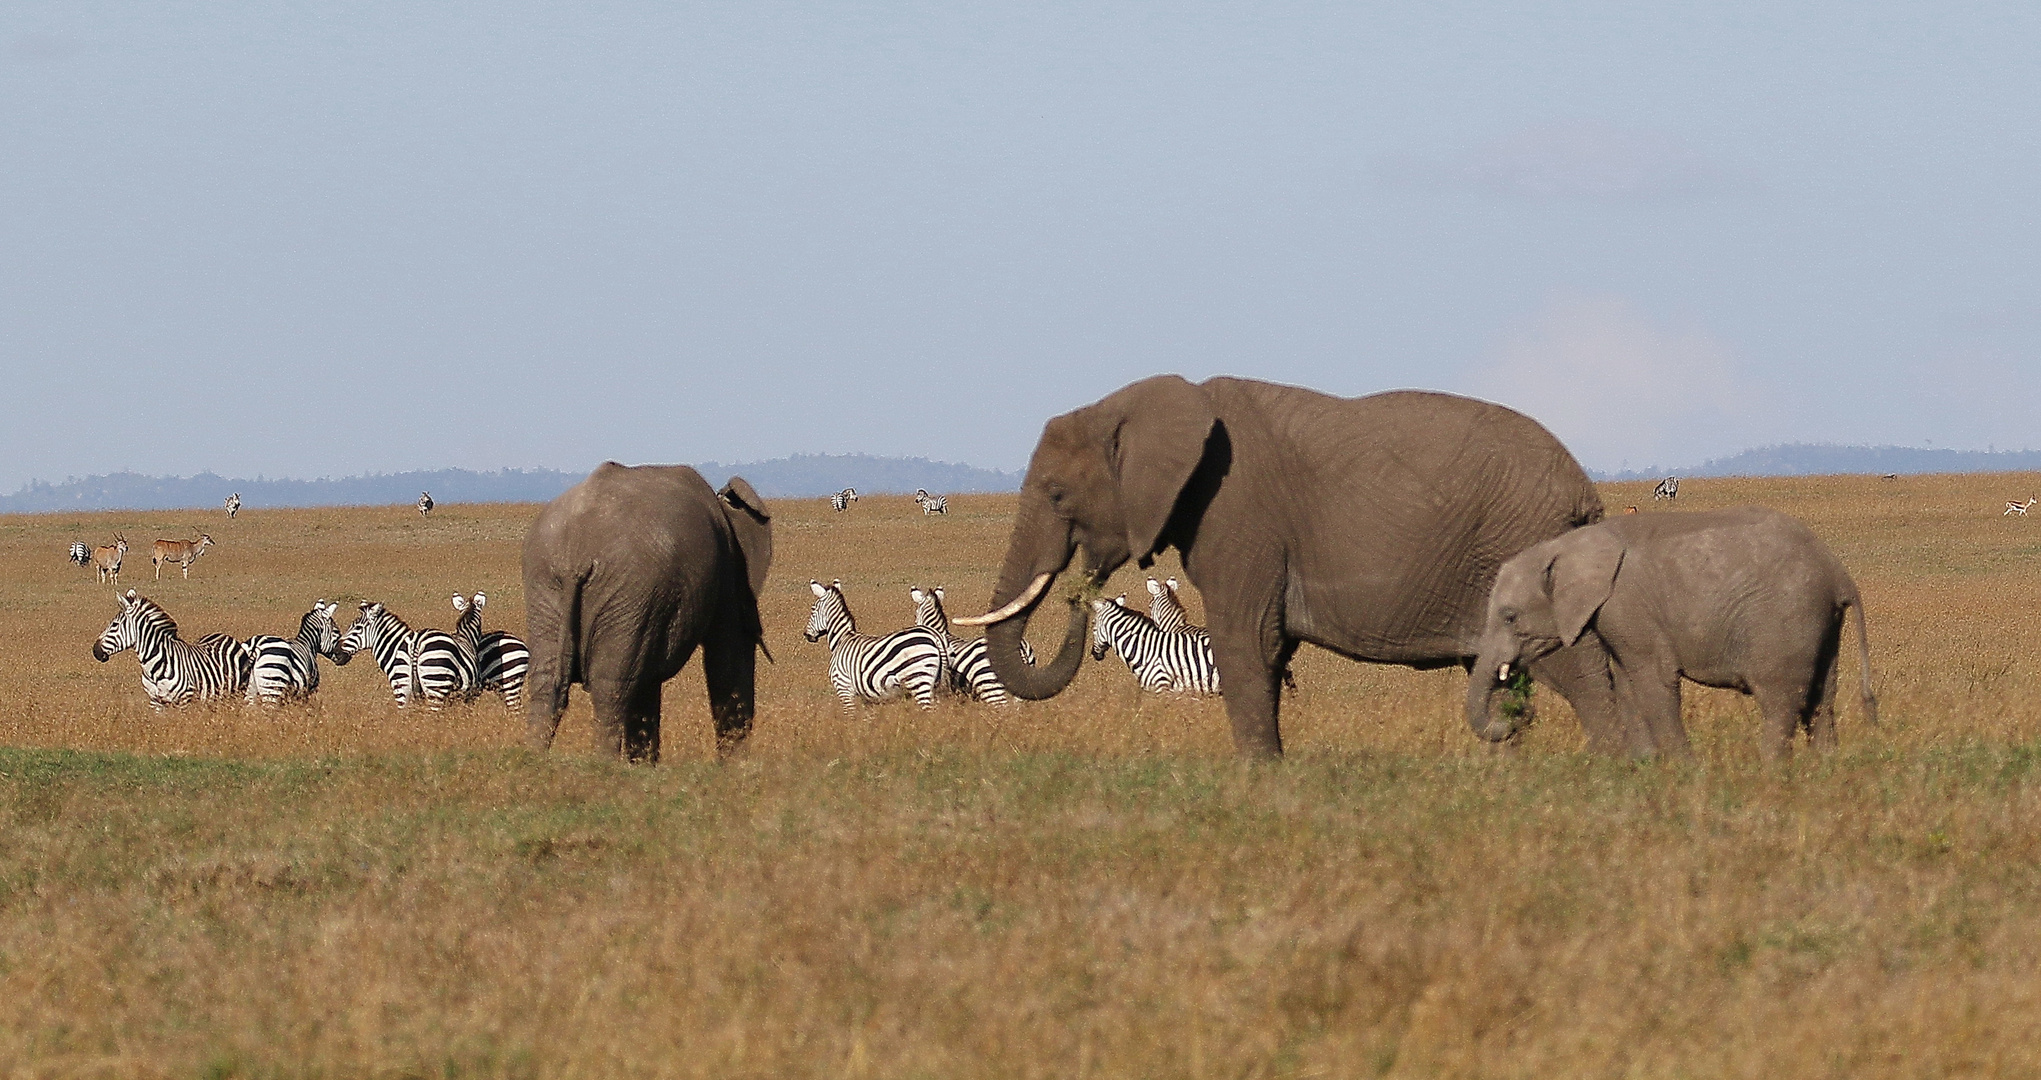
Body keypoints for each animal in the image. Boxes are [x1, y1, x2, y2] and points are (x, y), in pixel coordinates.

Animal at [93, 587, 253, 706]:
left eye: (114, 624)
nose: (95, 650)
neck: (154, 668)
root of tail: (226, 636)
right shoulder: (156, 701)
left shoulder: (184, 700)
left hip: (236, 693)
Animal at [526, 461, 771, 759]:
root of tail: (577, 555)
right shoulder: (726, 568)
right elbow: (727, 654)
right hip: (628, 590)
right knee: (610, 689)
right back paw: (603, 764)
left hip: (552, 584)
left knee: (547, 684)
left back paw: (536, 758)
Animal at [804, 575, 947, 710]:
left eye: (813, 609)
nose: (806, 635)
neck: (842, 638)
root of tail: (934, 637)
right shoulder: (866, 698)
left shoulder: (844, 688)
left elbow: (850, 716)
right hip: (934, 683)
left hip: (918, 680)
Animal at [955, 377, 1640, 759]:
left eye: (1055, 495)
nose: (1082, 586)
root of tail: (1584, 489)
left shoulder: (1238, 515)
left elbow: (1247, 640)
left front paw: (1259, 779)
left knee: (1578, 668)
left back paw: (1610, 771)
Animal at [1469, 506, 1877, 759]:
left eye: (1509, 617)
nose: (1517, 716)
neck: (1566, 545)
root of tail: (1839, 574)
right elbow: (1627, 683)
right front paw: (1646, 764)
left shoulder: (1628, 604)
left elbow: (1654, 681)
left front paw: (1684, 768)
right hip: (1822, 623)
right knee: (1822, 699)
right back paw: (1823, 767)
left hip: (1787, 619)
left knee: (1780, 700)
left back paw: (1769, 770)